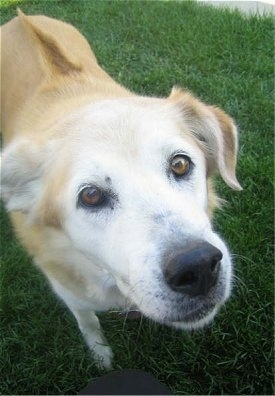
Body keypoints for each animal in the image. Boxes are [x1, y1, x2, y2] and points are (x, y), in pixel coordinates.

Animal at [0, 10, 243, 370]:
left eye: (180, 164)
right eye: (90, 196)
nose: (198, 266)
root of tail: (21, 18)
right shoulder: (69, 292)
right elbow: (88, 322)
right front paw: (100, 355)